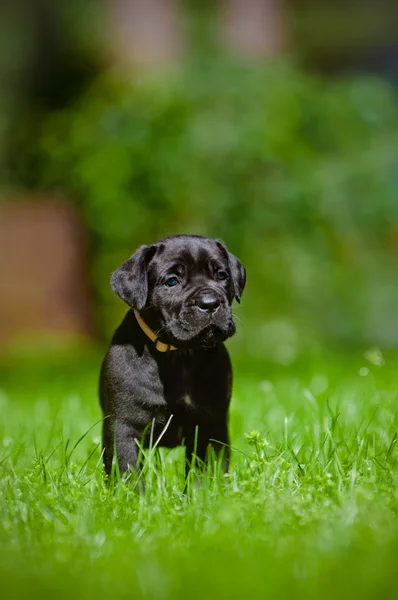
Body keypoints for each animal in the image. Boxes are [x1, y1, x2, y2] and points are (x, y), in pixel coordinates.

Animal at [98, 233, 246, 474]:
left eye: (222, 275)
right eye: (171, 281)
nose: (210, 303)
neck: (180, 355)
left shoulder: (210, 425)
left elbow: (204, 471)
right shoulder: (124, 427)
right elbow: (128, 470)